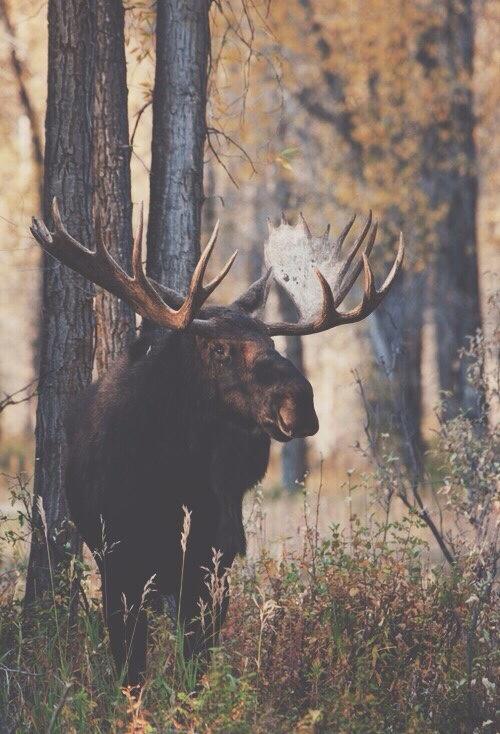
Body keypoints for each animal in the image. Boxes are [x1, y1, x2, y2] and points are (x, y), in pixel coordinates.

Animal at [30, 200, 402, 684]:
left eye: (271, 340)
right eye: (219, 349)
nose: (300, 403)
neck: (162, 480)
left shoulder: (210, 557)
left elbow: (196, 654)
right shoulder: (117, 559)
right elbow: (129, 662)